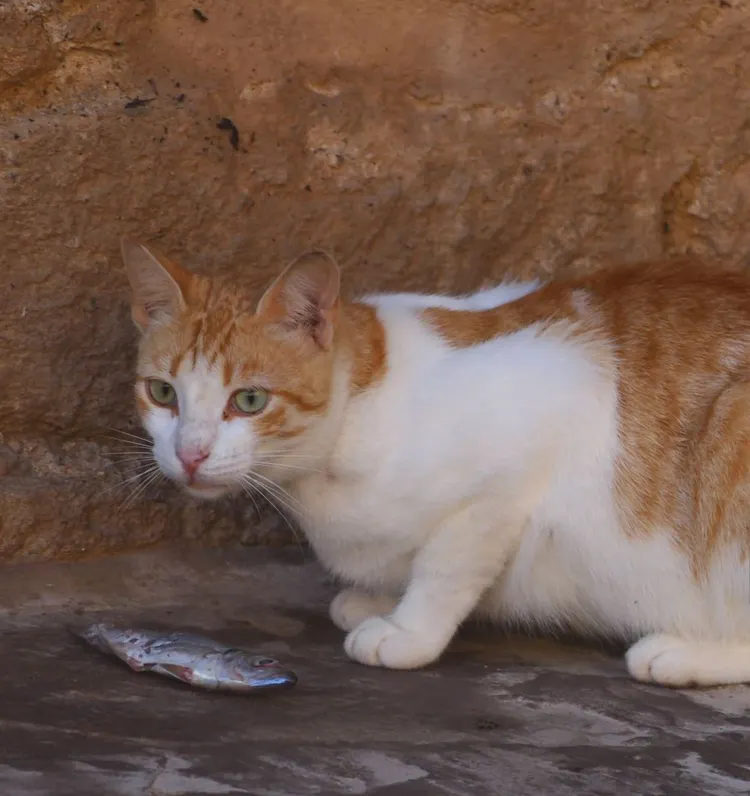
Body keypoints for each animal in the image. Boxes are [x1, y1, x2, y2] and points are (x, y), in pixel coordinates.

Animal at [122, 238, 750, 692]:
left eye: (249, 400)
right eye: (162, 393)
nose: (191, 453)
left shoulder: (542, 418)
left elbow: (447, 566)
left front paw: (407, 630)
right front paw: (379, 599)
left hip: (732, 428)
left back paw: (678, 652)